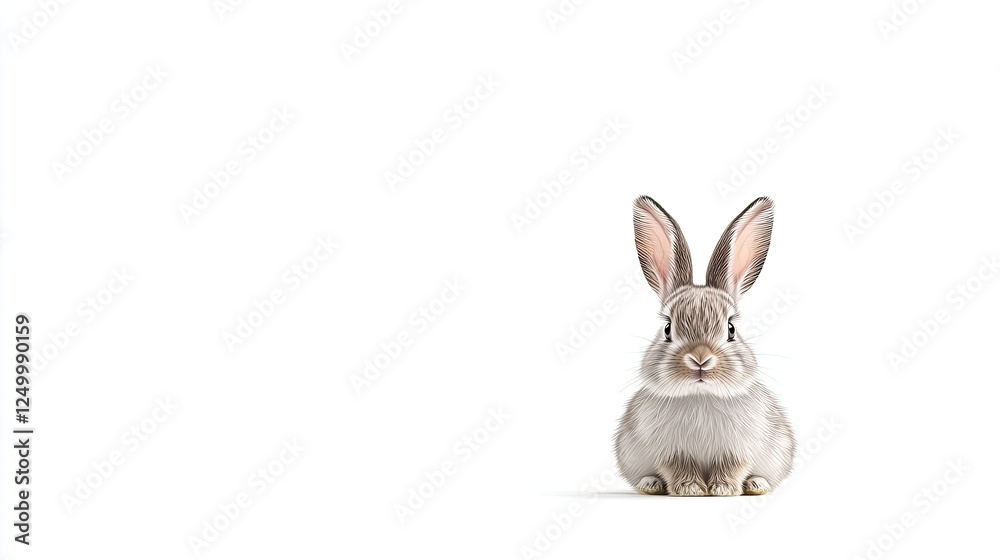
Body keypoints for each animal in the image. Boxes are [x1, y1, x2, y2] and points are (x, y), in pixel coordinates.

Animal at [614, 195, 795, 496]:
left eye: (731, 329)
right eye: (667, 328)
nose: (700, 358)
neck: (701, 395)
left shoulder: (737, 451)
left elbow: (731, 468)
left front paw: (723, 489)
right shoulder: (672, 453)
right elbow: (679, 468)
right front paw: (691, 490)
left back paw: (757, 485)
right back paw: (650, 484)